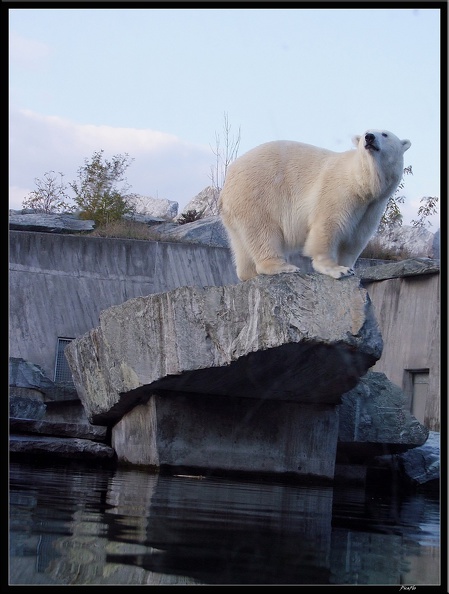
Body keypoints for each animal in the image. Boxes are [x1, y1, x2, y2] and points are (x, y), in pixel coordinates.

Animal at [219, 130, 412, 278]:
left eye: (385, 134)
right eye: (366, 131)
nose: (369, 137)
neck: (362, 184)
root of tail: (229, 177)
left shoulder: (373, 206)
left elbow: (356, 238)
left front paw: (349, 267)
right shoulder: (338, 191)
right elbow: (328, 226)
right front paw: (338, 270)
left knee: (241, 243)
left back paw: (248, 273)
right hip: (257, 193)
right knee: (263, 231)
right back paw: (282, 266)